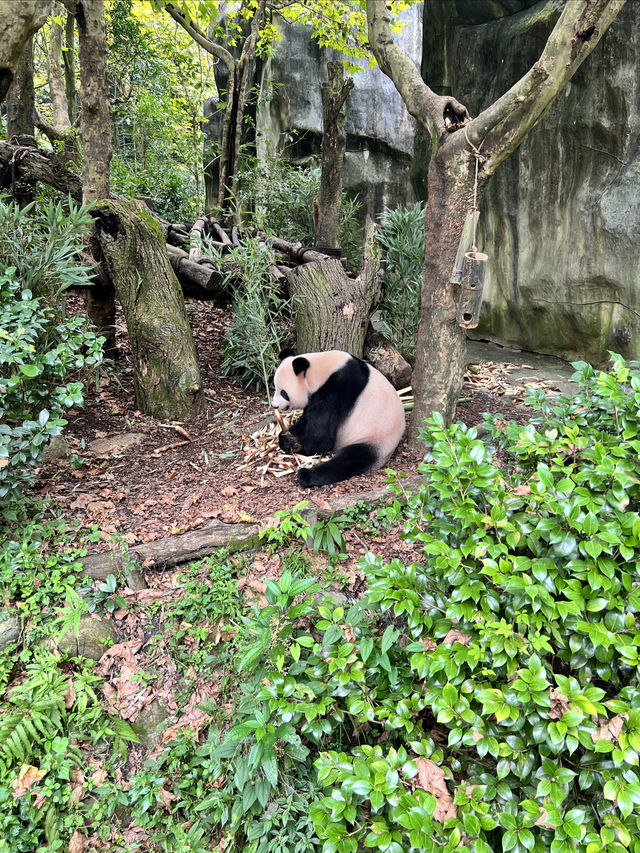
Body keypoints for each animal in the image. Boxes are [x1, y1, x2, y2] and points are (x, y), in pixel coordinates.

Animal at [272, 350, 404, 490]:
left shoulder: (338, 389)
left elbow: (321, 435)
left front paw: (305, 447)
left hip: (374, 437)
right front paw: (288, 439)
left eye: (283, 393)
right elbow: (306, 419)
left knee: (349, 460)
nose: (274, 405)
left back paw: (306, 475)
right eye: (275, 387)